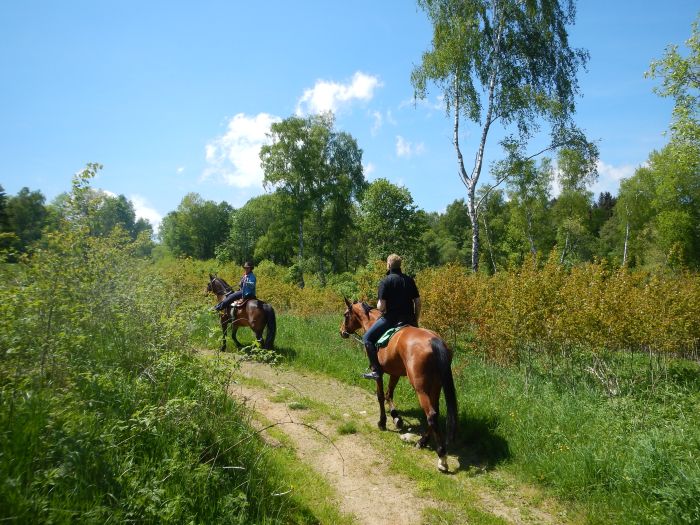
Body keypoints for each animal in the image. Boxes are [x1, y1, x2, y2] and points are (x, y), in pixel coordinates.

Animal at [340, 296, 460, 472]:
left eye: (346, 315)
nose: (342, 331)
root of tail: (435, 341)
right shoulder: (395, 373)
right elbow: (389, 394)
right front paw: (397, 418)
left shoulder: (379, 372)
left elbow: (380, 395)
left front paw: (382, 422)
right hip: (436, 385)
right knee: (435, 411)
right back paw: (422, 442)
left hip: (420, 387)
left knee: (431, 414)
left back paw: (441, 458)